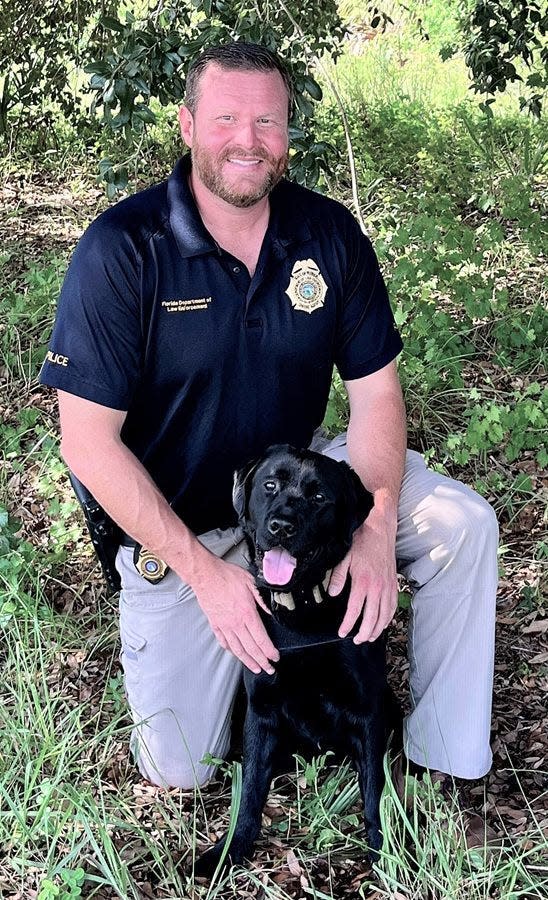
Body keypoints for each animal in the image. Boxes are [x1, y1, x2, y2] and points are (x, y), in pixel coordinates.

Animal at [195, 446, 400, 876]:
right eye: (270, 485)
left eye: (319, 497)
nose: (281, 526)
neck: (301, 610)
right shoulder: (260, 710)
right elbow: (250, 790)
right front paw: (230, 849)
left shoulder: (368, 710)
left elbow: (375, 791)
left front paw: (386, 855)